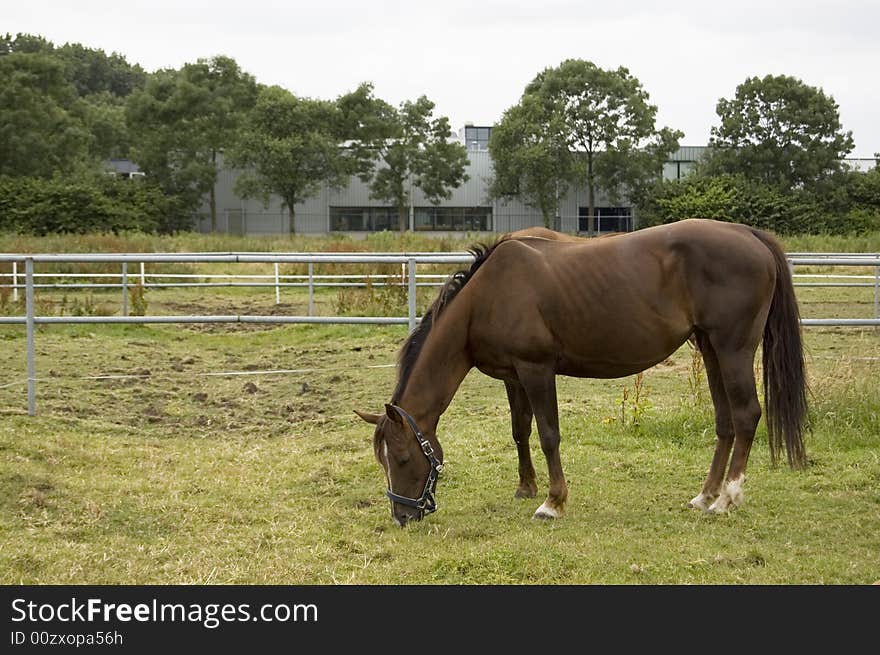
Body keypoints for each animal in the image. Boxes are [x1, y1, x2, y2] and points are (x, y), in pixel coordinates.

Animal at [354, 220, 808, 528]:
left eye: (403, 458)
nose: (401, 516)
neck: (488, 295)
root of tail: (748, 234)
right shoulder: (512, 376)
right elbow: (520, 431)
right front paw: (526, 488)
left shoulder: (536, 370)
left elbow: (548, 435)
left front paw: (552, 503)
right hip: (710, 348)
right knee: (725, 420)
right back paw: (704, 495)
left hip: (733, 349)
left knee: (747, 415)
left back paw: (727, 499)